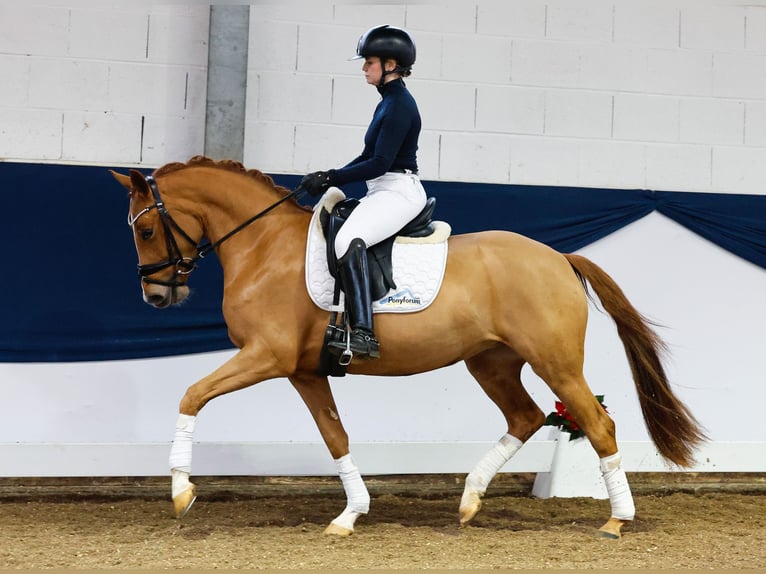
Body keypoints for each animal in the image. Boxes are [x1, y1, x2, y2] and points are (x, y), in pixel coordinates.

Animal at [109, 156, 708, 540]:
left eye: (145, 231)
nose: (157, 295)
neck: (264, 247)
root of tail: (560, 257)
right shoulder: (304, 371)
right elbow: (334, 435)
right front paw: (351, 515)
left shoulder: (266, 356)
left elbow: (191, 394)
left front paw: (181, 492)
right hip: (490, 362)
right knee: (526, 416)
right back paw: (469, 501)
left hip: (554, 362)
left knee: (597, 424)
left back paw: (617, 520)